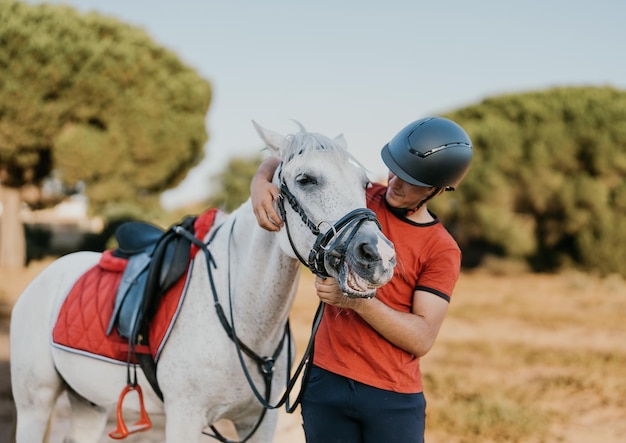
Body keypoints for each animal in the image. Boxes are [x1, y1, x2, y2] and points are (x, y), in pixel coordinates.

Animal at [8, 119, 394, 442]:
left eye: (364, 184)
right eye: (306, 179)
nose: (379, 256)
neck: (242, 316)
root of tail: (47, 276)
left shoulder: (258, 424)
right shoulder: (185, 418)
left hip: (88, 403)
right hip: (35, 405)